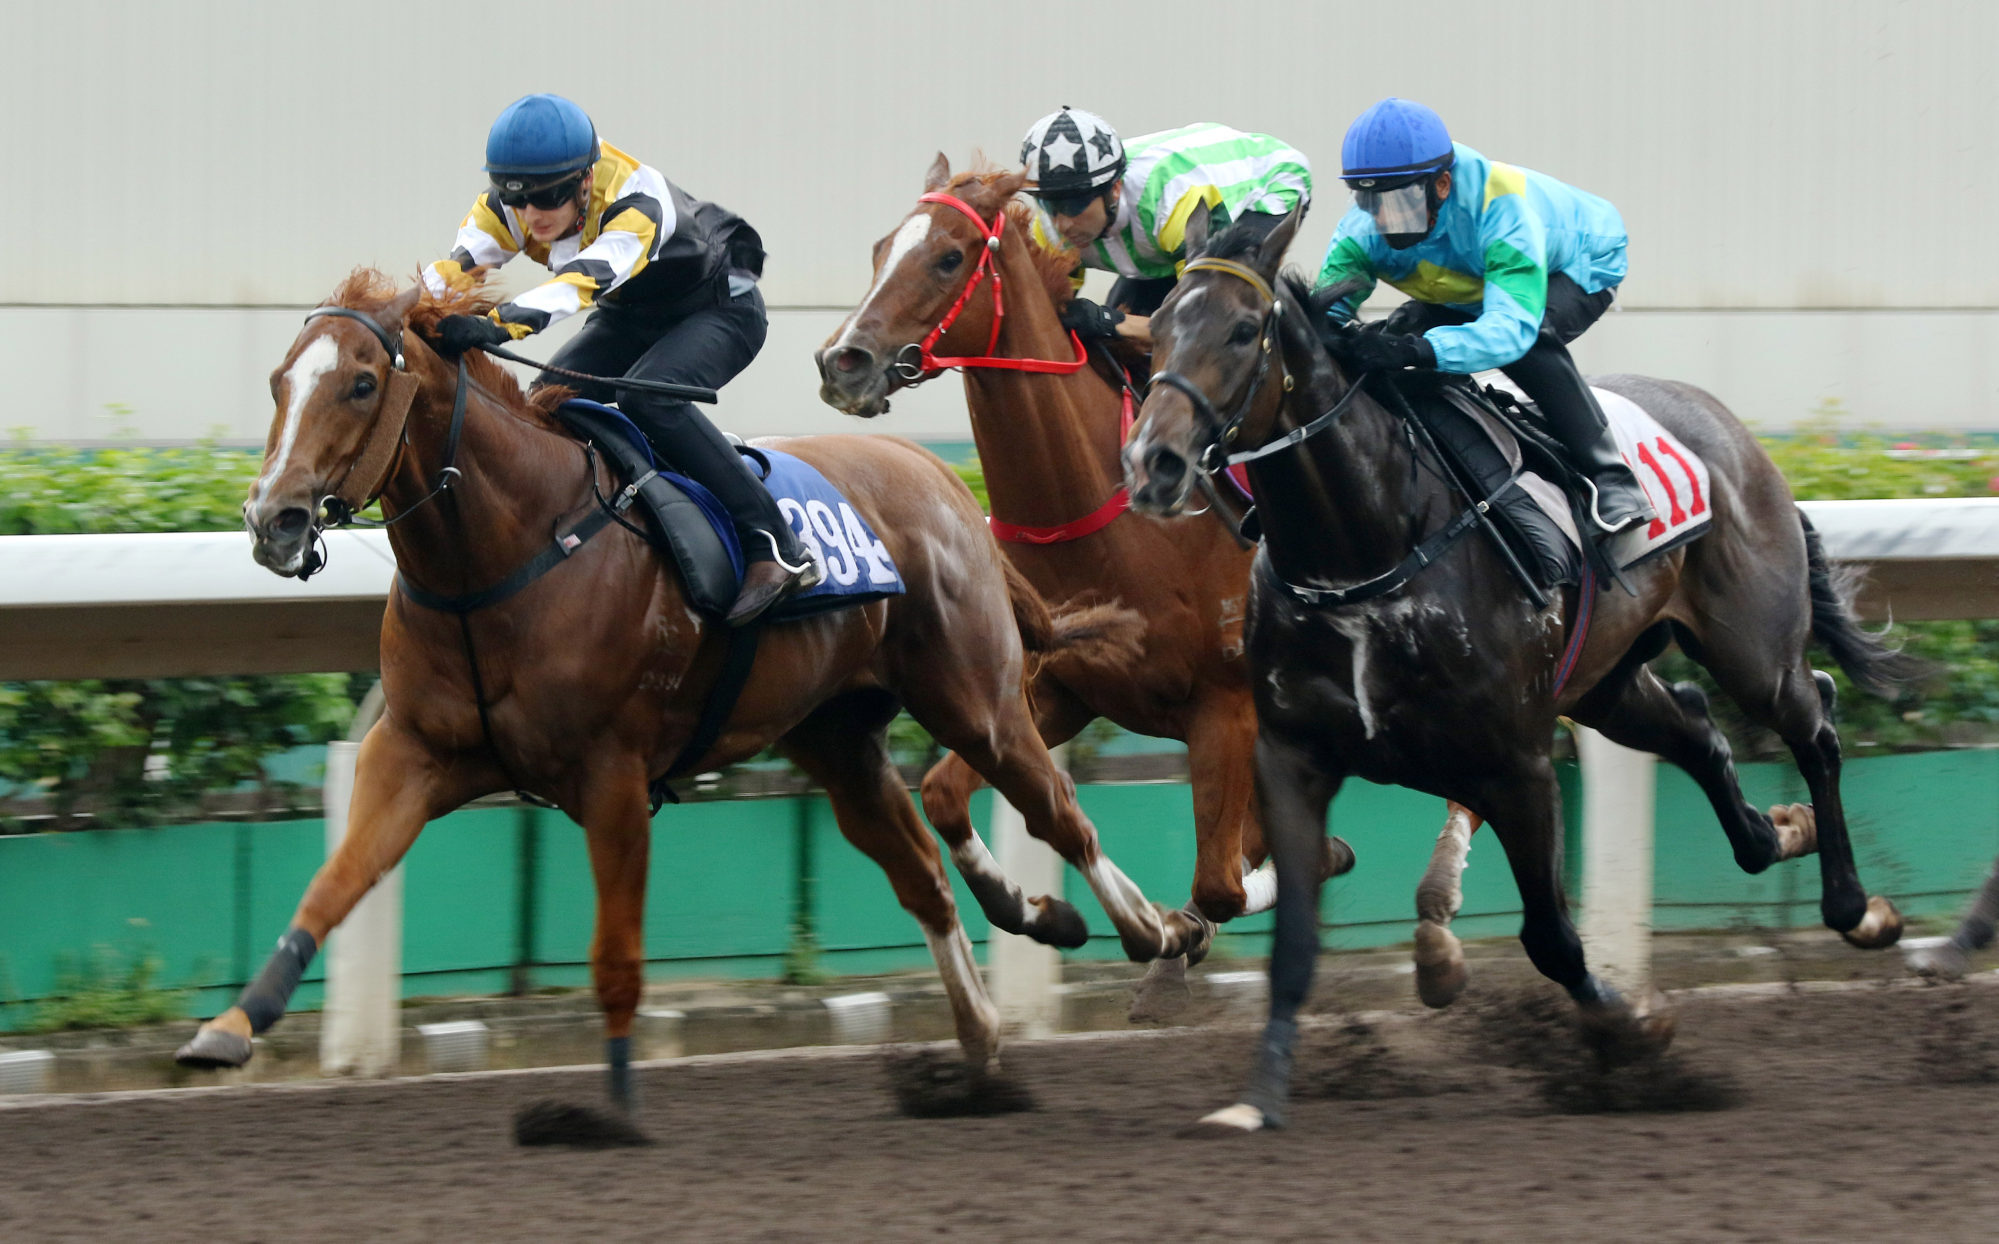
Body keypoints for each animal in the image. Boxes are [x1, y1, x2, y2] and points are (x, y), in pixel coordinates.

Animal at [175, 272, 1199, 1112]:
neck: (504, 552)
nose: (272, 520)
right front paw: (230, 1026)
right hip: (838, 741)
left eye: (358, 383)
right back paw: (988, 1023)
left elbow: (616, 960)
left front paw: (617, 1107)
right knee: (920, 874)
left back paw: (1152, 932)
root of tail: (942, 478)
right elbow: (334, 884)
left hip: (976, 701)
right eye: (280, 381)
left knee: (1060, 812)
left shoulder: (613, 777)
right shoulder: (418, 753)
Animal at [811, 158, 1487, 1016]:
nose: (842, 362)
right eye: (878, 250)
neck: (1093, 517)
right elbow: (942, 793)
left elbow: (1225, 879)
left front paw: (1188, 923)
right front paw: (1042, 910)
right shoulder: (1055, 691)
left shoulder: (1225, 708)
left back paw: (1437, 919)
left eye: (948, 258)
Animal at [1127, 210, 1919, 1136]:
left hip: (1753, 650)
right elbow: (1292, 946)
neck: (1367, 548)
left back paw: (1857, 909)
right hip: (1608, 683)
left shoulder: (1515, 762)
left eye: (1243, 330)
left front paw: (1629, 1030)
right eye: (1159, 324)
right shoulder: (1293, 755)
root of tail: (1732, 430)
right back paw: (1779, 830)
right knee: (1695, 727)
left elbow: (1549, 936)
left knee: (1815, 718)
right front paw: (1256, 1101)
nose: (1154, 463)